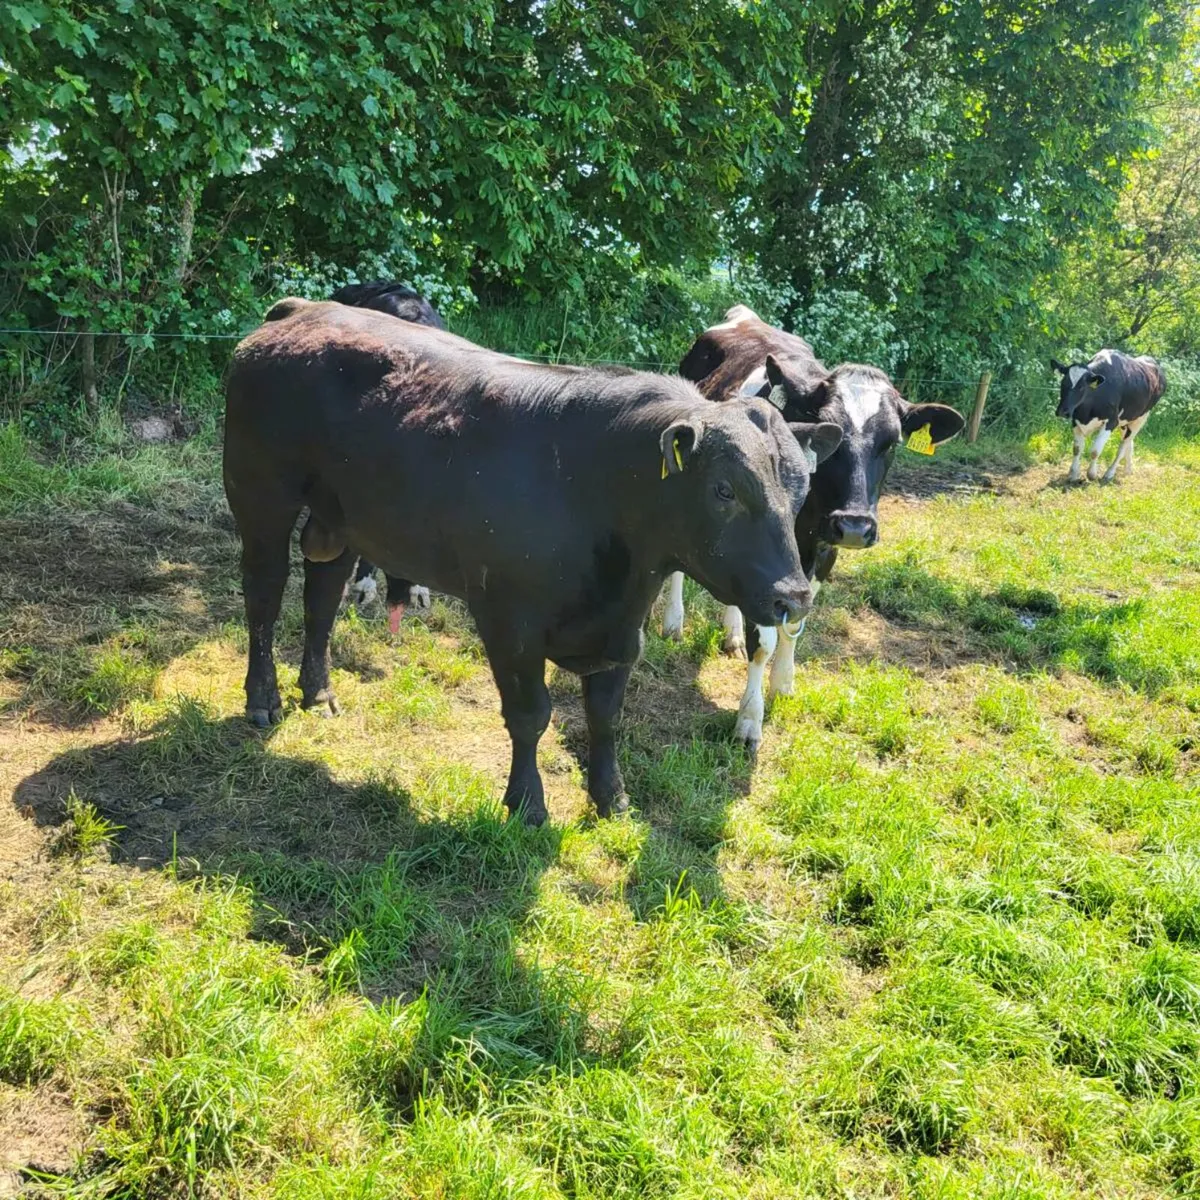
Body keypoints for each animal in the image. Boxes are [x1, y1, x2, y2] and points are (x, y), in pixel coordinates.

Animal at [664, 305, 964, 749]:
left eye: (891, 442)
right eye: (832, 436)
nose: (855, 525)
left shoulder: (823, 550)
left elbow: (794, 626)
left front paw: (783, 685)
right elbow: (765, 640)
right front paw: (749, 720)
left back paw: (730, 634)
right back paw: (673, 623)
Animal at [1050, 351, 1166, 483]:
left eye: (1081, 387)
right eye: (1063, 383)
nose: (1062, 411)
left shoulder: (1111, 422)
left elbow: (1095, 451)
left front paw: (1092, 474)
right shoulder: (1076, 420)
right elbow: (1077, 448)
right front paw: (1073, 474)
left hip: (1141, 417)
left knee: (1123, 445)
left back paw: (1109, 473)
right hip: (1125, 421)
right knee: (1129, 442)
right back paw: (1128, 469)